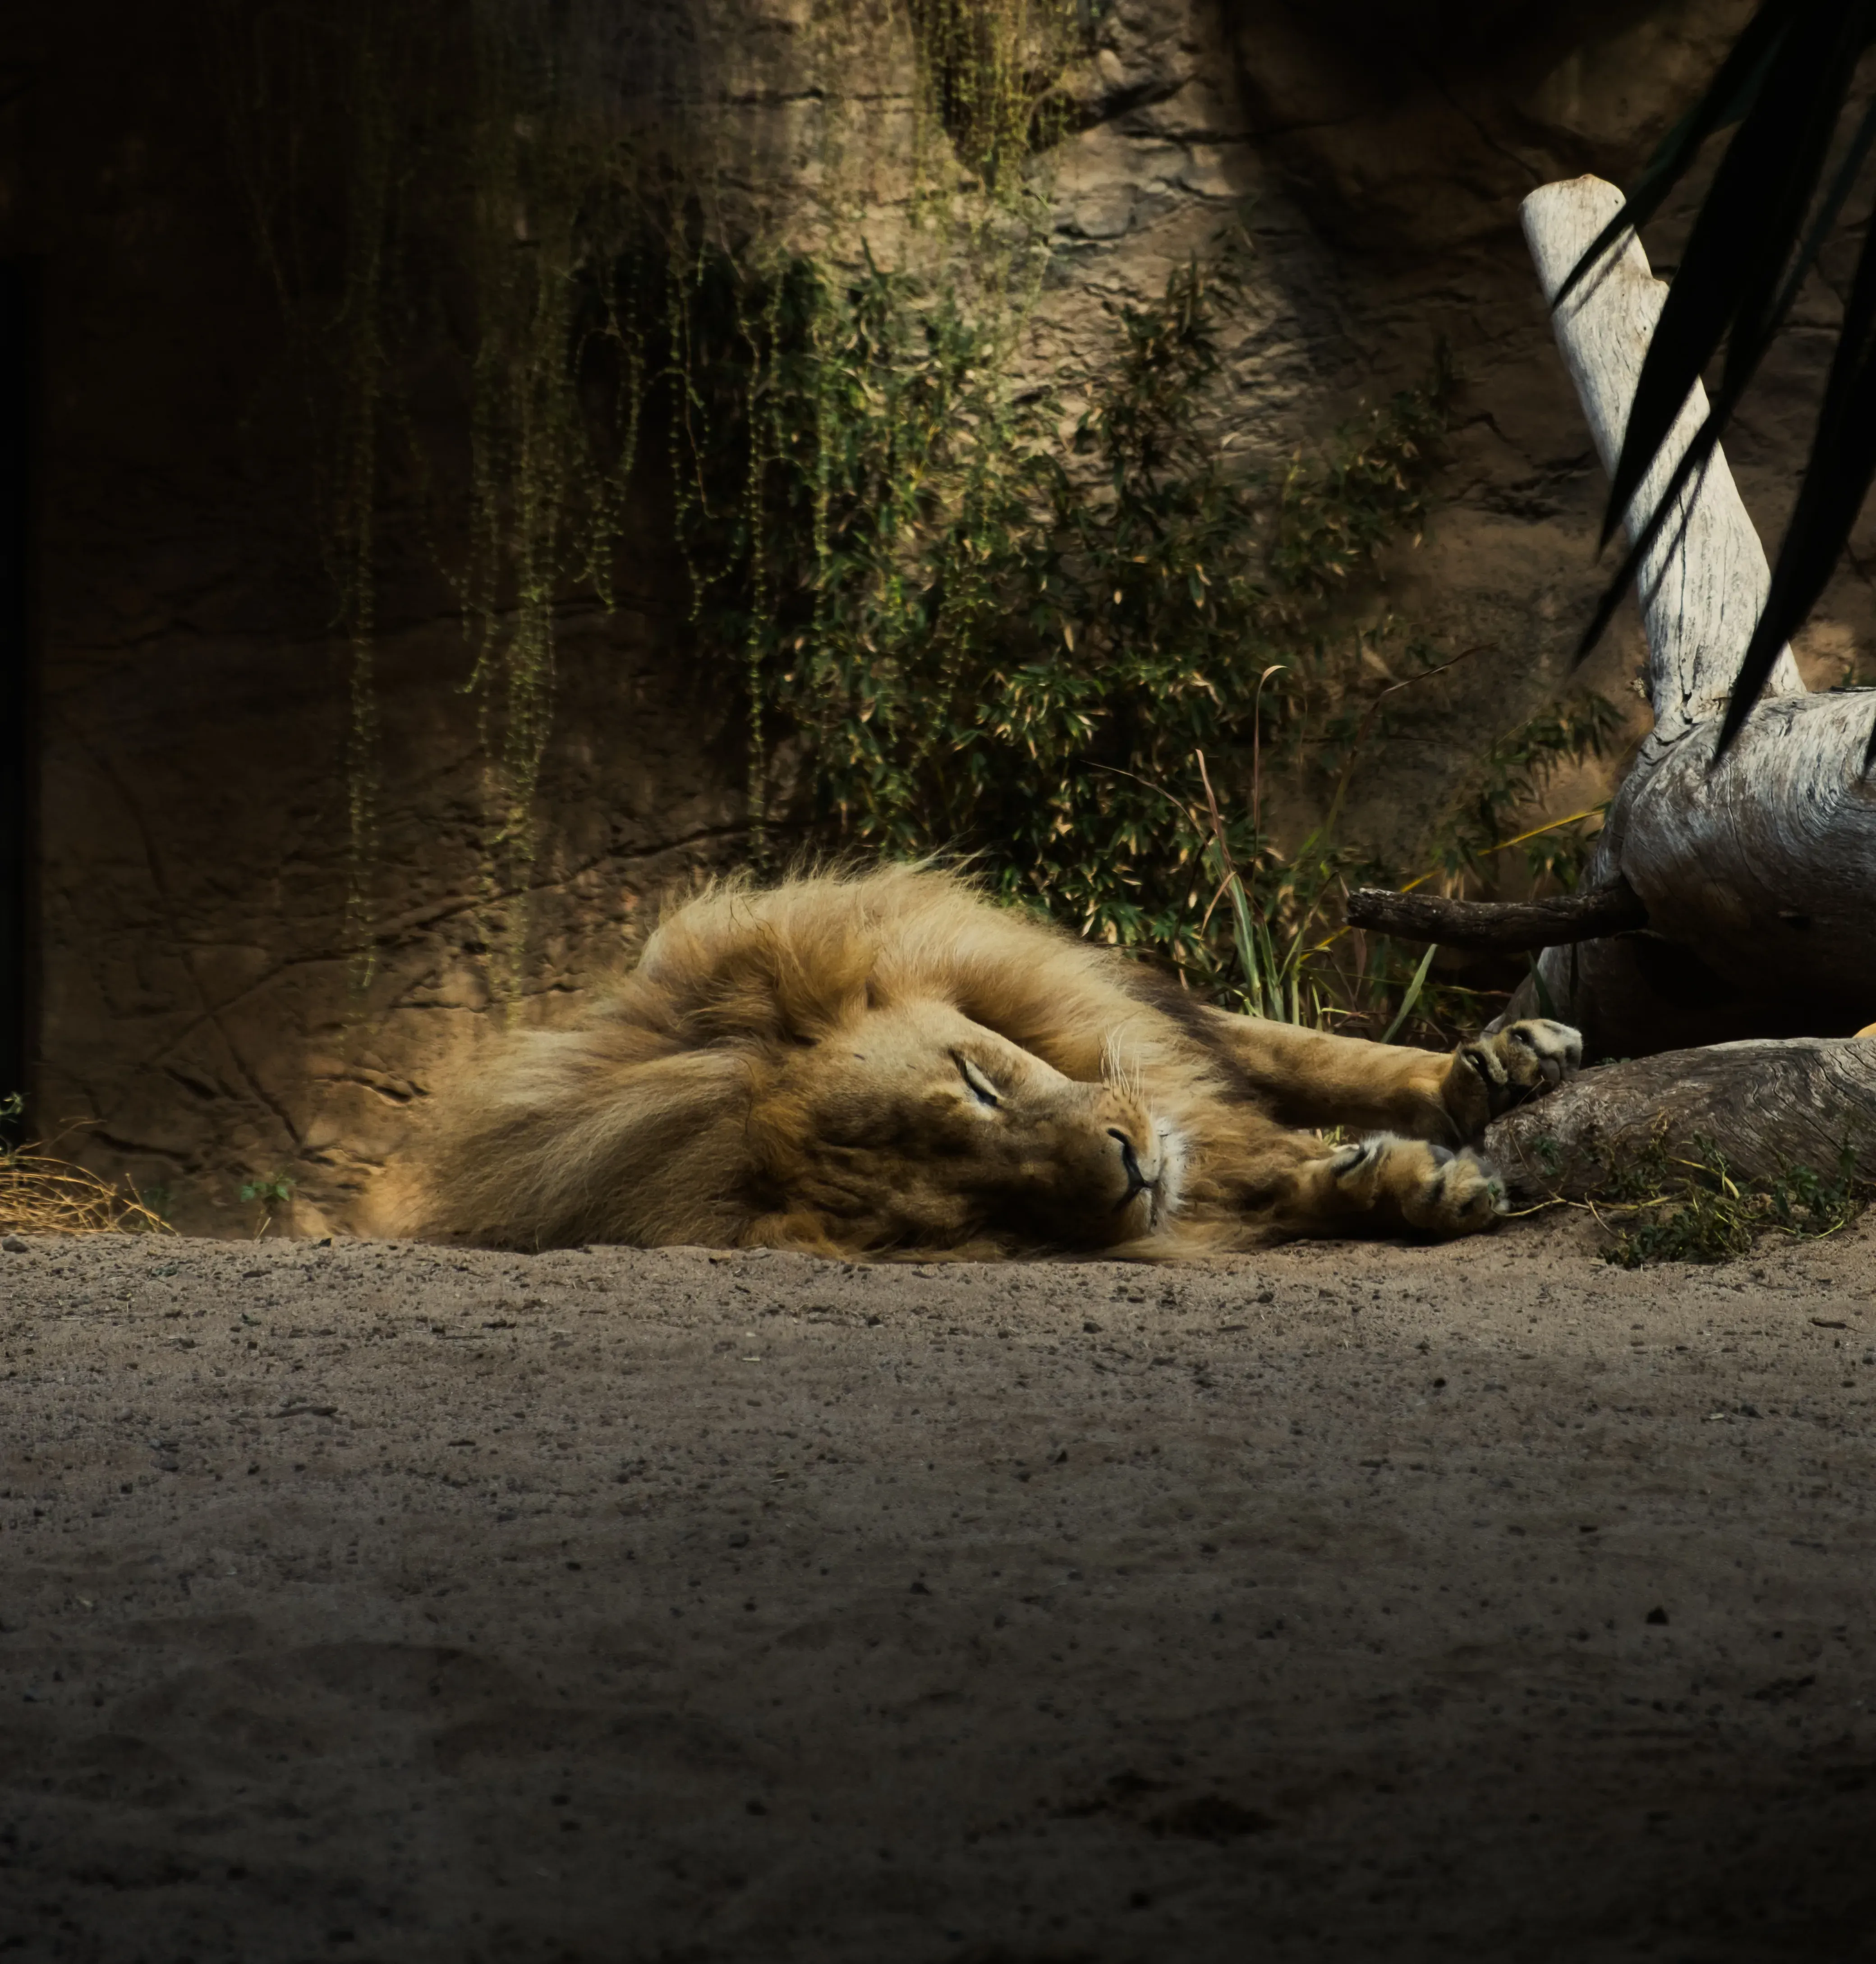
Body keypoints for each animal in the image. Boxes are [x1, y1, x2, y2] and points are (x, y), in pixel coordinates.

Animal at [410, 863, 1580, 1258]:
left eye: (977, 1077)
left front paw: (1502, 1061)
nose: (1129, 1168)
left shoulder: (1153, 1016)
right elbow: (1269, 1176)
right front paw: (1409, 1184)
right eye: (990, 1208)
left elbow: (1309, 1050)